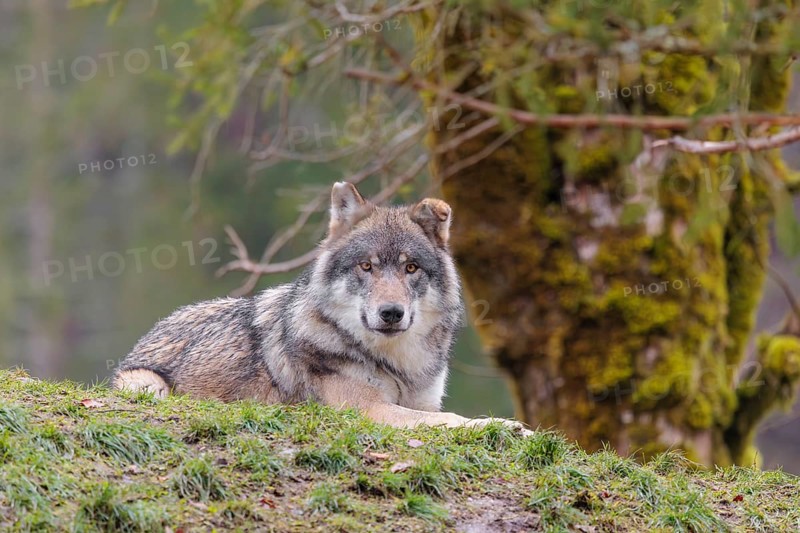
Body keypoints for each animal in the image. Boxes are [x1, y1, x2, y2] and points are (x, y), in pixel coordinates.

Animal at [114, 182, 528, 433]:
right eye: (366, 266)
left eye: (410, 268)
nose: (391, 313)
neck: (396, 363)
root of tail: (155, 328)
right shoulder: (370, 410)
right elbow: (451, 420)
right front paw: (504, 426)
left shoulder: (423, 402)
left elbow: (442, 416)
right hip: (146, 385)